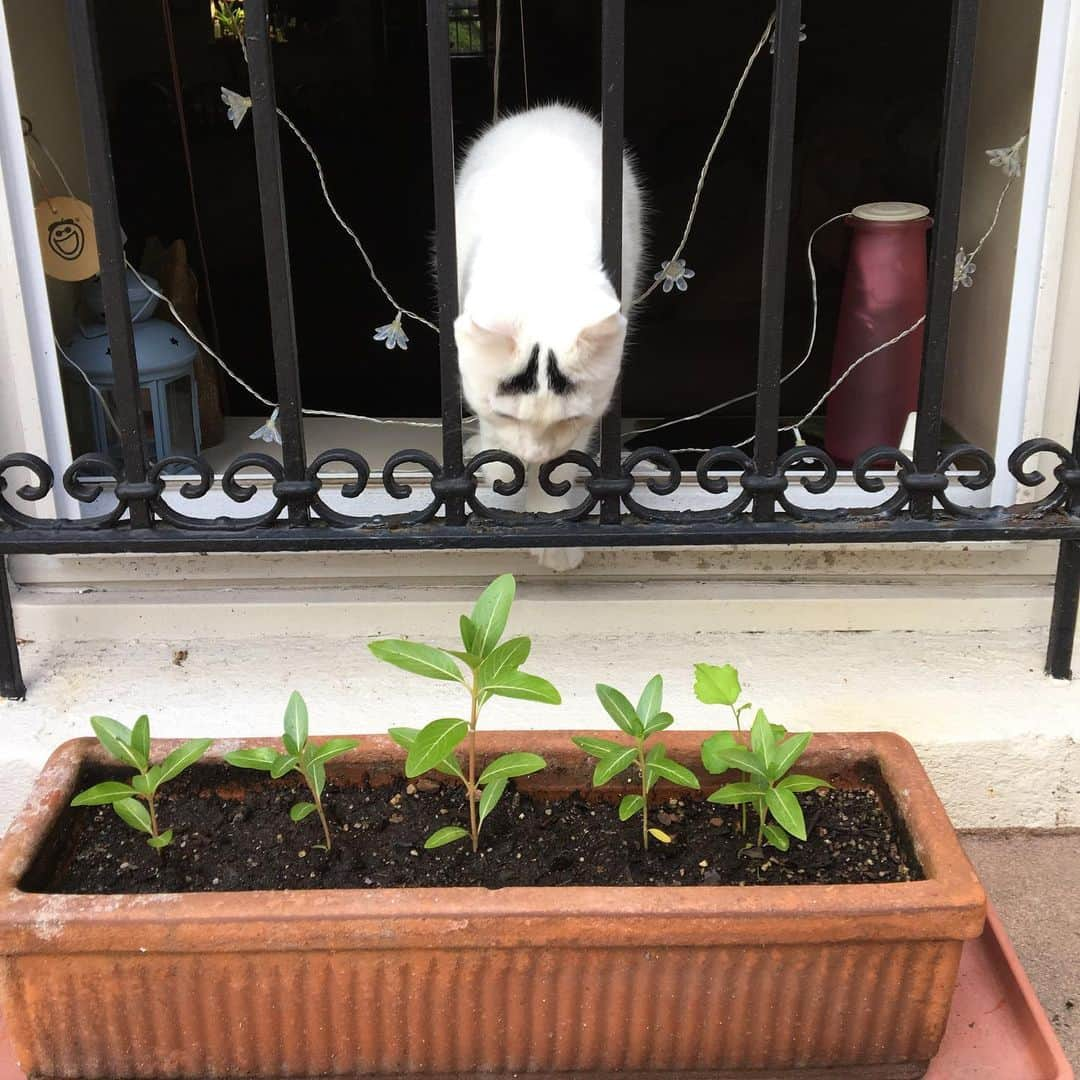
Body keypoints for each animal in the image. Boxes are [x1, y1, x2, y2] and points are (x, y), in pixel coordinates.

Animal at [453, 104, 643, 570]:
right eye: (505, 416)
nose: (532, 456)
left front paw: (551, 522)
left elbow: (562, 464)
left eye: (569, 420)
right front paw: (501, 467)